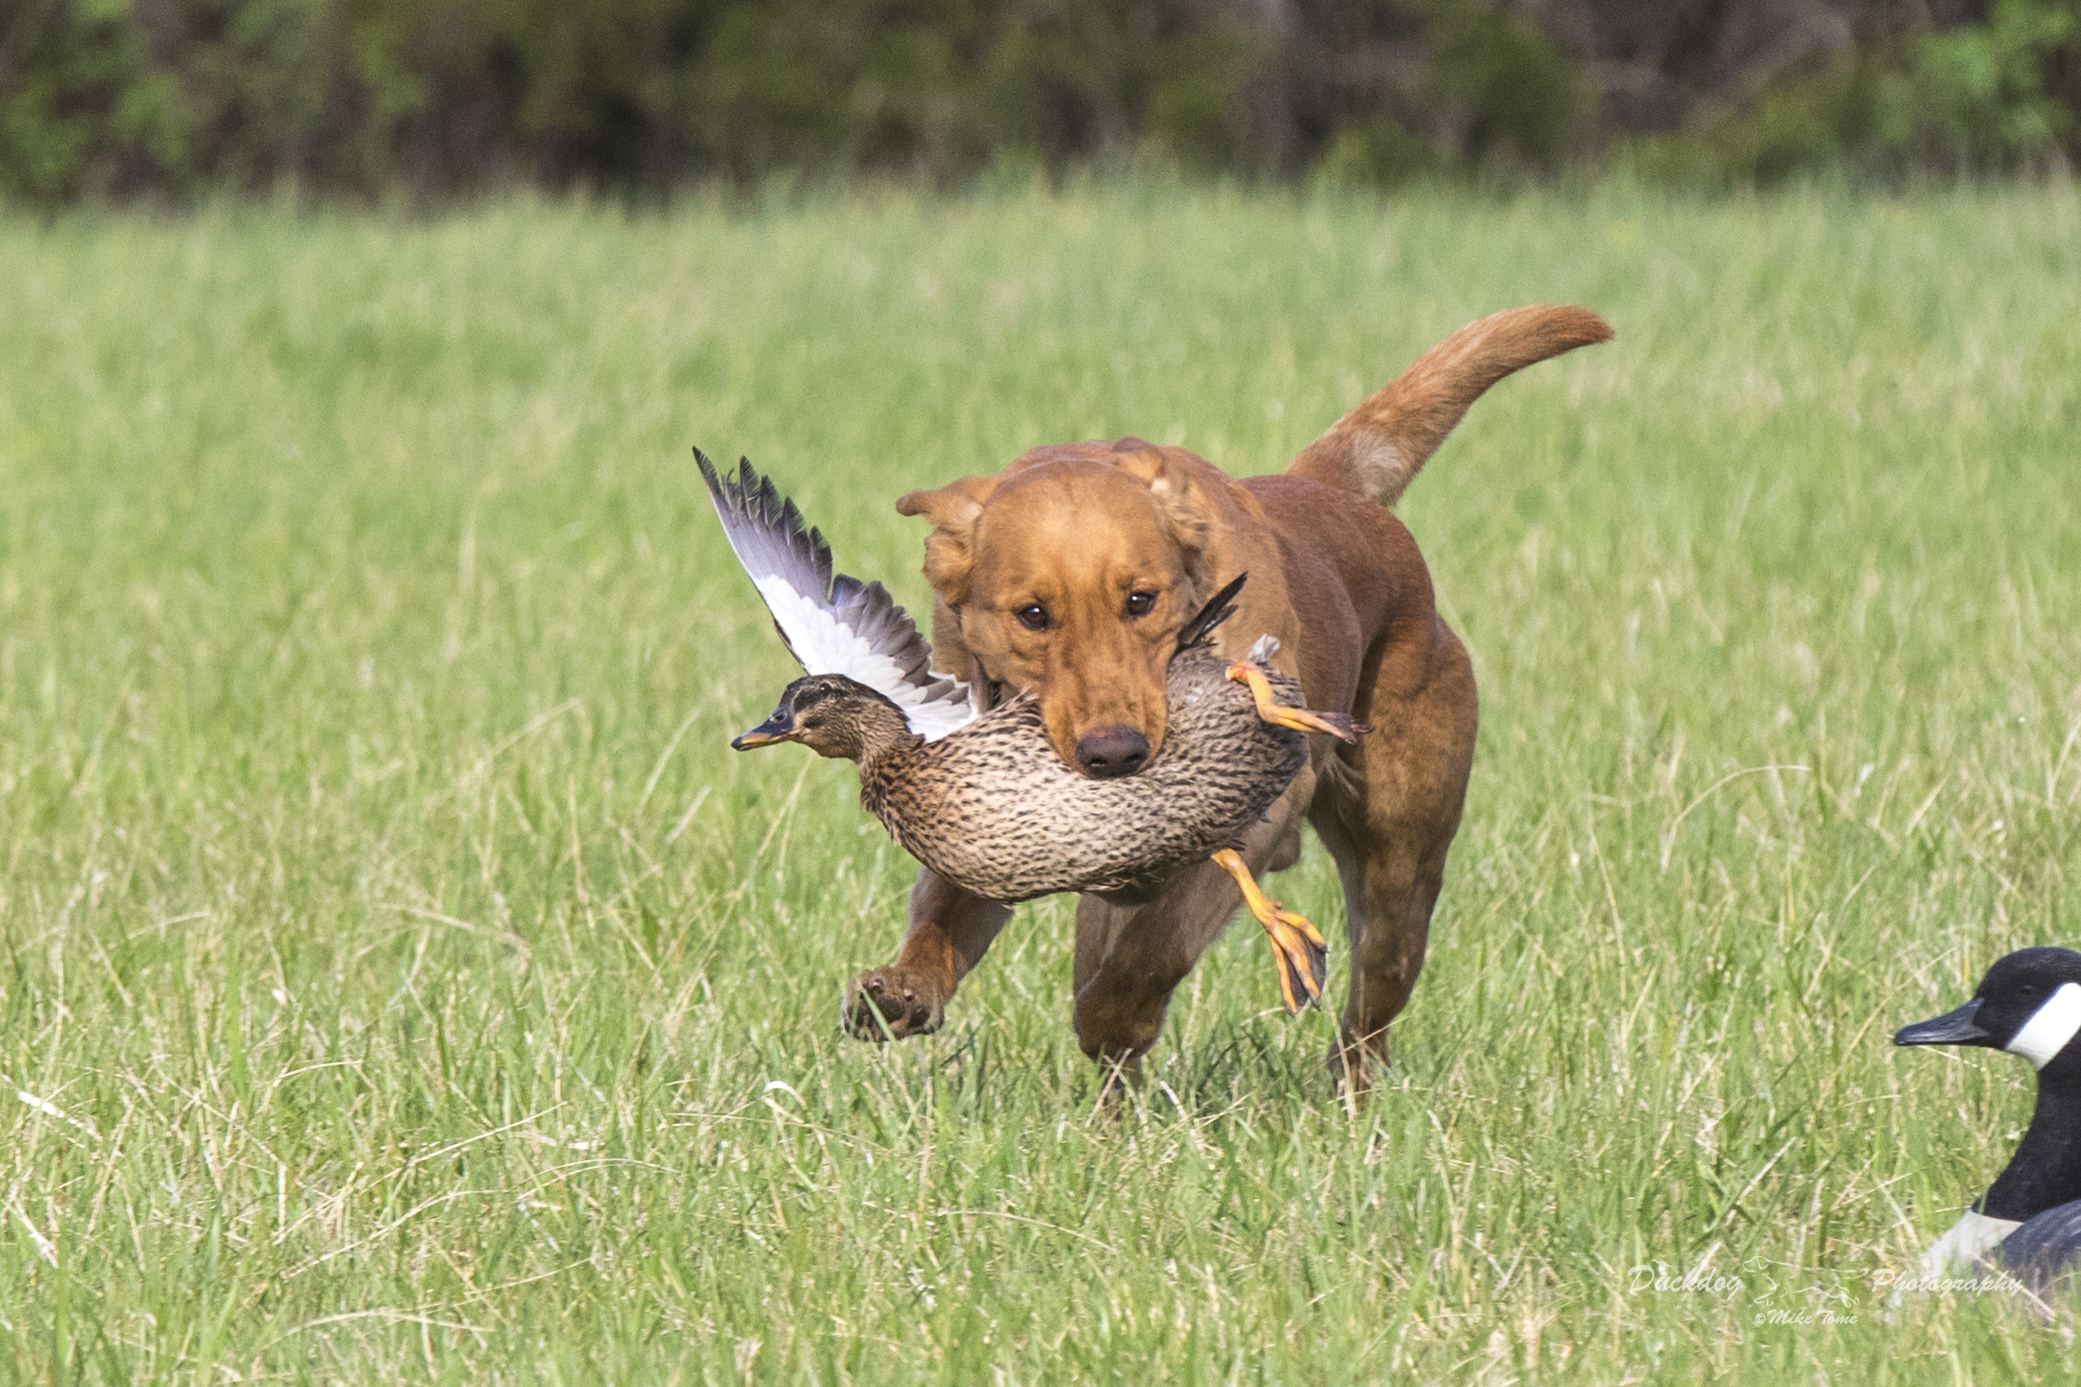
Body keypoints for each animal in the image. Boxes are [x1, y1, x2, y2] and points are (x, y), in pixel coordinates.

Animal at [840, 305, 1606, 1097]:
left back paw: (1346, 1094)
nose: (1114, 754)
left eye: (1140, 600)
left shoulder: (1256, 813)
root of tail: (1335, 495)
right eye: (1033, 615)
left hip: (1400, 865)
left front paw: (1112, 1017)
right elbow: (945, 906)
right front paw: (904, 986)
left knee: (1369, 1010)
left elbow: (1157, 948)